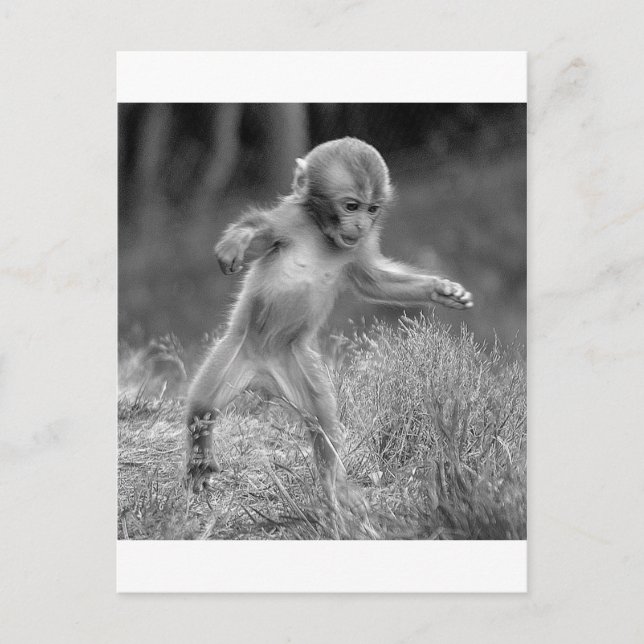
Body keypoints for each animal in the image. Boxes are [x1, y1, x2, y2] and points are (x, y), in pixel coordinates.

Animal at [186, 137, 472, 511]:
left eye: (372, 209)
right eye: (351, 206)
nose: (361, 224)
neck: (322, 234)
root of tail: (262, 374)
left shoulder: (360, 246)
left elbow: (373, 281)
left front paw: (440, 290)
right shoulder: (290, 219)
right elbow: (262, 232)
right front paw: (237, 241)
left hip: (296, 364)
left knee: (322, 424)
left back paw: (335, 486)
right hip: (235, 352)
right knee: (202, 407)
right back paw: (200, 458)